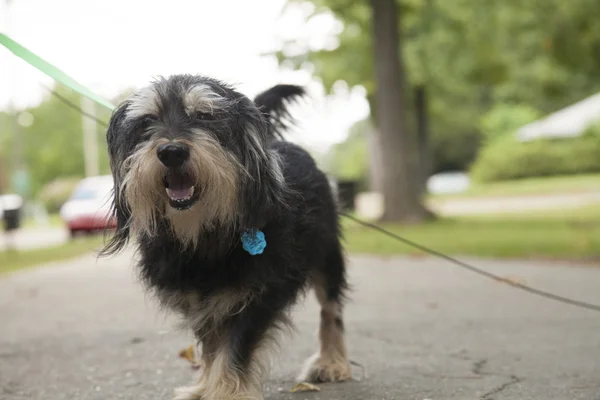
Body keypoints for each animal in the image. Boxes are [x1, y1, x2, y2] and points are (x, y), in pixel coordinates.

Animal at [99, 73, 352, 398]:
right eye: (147, 121)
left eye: (205, 115)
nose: (171, 152)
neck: (204, 231)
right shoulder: (199, 300)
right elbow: (211, 345)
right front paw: (204, 386)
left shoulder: (259, 294)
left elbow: (233, 347)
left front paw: (226, 391)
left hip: (326, 256)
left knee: (331, 309)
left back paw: (332, 362)